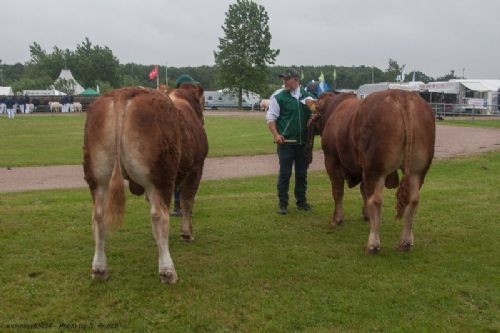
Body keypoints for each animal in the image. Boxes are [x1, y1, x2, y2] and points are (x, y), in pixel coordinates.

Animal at [83, 85, 207, 282]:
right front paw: (186, 233)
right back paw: (167, 271)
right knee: (159, 216)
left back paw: (99, 268)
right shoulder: (196, 169)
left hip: (98, 178)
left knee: (98, 215)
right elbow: (187, 202)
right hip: (160, 177)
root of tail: (123, 93)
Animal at [314, 88, 436, 252]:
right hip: (417, 170)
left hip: (375, 169)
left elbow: (338, 191)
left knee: (376, 200)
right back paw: (405, 241)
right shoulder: (362, 169)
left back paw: (373, 244)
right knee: (413, 200)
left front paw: (337, 219)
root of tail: (401, 95)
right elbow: (363, 191)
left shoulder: (332, 161)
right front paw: (366, 215)